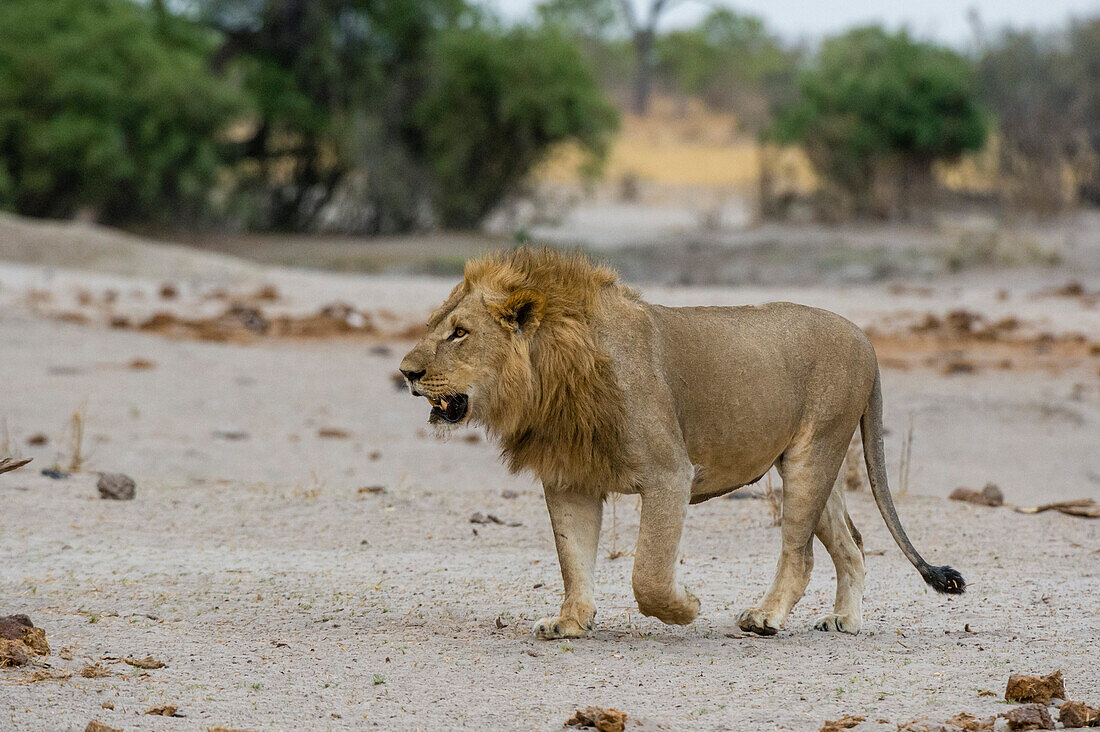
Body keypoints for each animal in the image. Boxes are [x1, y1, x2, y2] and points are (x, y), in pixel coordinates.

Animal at [402, 248, 963, 638]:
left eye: (459, 333)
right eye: (436, 326)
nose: (406, 372)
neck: (550, 376)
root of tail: (865, 339)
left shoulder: (670, 472)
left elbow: (648, 572)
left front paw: (687, 606)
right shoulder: (569, 479)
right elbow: (573, 557)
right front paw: (571, 622)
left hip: (814, 453)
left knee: (799, 552)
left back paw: (765, 617)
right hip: (808, 462)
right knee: (853, 542)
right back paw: (844, 620)